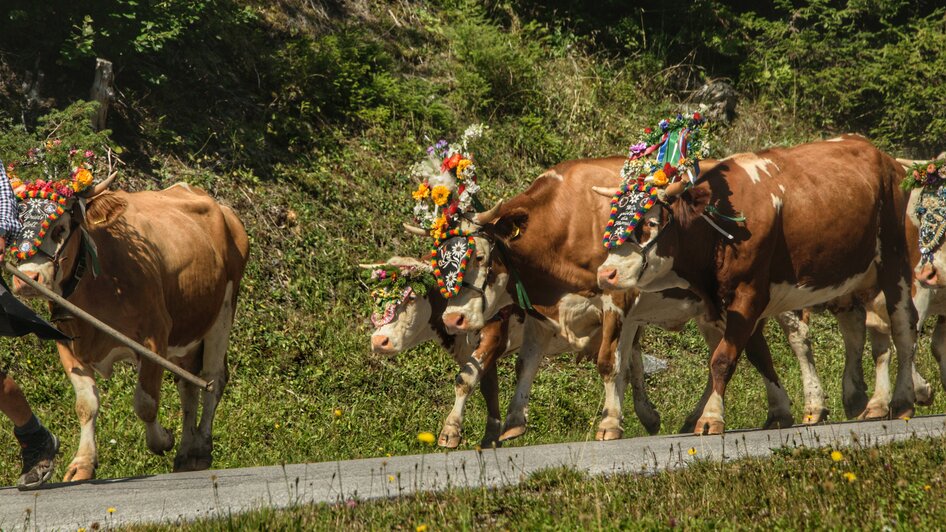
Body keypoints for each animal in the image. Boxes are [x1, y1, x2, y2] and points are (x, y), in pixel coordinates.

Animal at [12, 178, 247, 478]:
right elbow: (86, 405)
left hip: (223, 311)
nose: (27, 279)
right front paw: (83, 464)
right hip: (186, 335)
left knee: (213, 379)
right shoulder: (68, 343)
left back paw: (199, 450)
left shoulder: (154, 337)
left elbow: (146, 403)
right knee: (188, 385)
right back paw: (186, 453)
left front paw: (162, 440)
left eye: (60, 227)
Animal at [596, 135, 916, 434]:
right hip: (855, 276)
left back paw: (903, 400)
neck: (718, 229)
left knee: (902, 326)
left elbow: (722, 359)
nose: (605, 273)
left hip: (894, 260)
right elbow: (753, 355)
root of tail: (883, 156)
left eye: (650, 223)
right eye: (611, 223)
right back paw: (861, 398)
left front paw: (711, 418)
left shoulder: (749, 294)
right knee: (861, 327)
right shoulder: (722, 304)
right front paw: (777, 412)